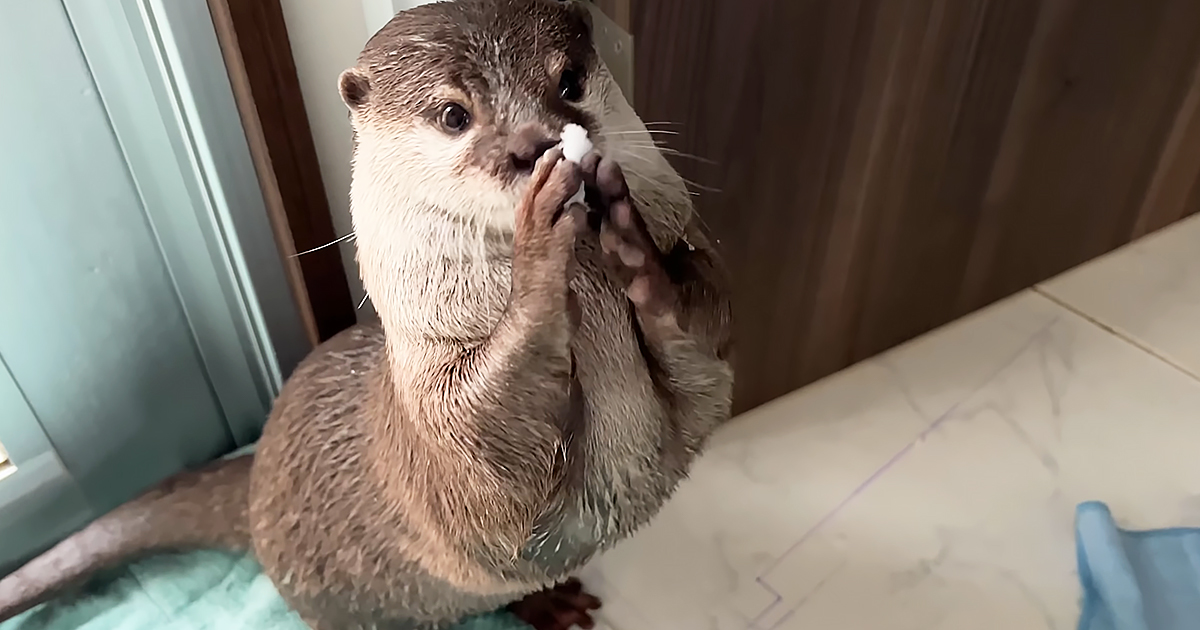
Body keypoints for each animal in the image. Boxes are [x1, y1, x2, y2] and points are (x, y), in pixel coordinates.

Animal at [0, 1, 733, 628]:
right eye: (453, 115)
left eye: (571, 79)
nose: (534, 145)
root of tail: (255, 486)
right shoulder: (452, 446)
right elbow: (491, 434)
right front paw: (539, 245)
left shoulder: (702, 376)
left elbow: (706, 337)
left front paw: (634, 245)